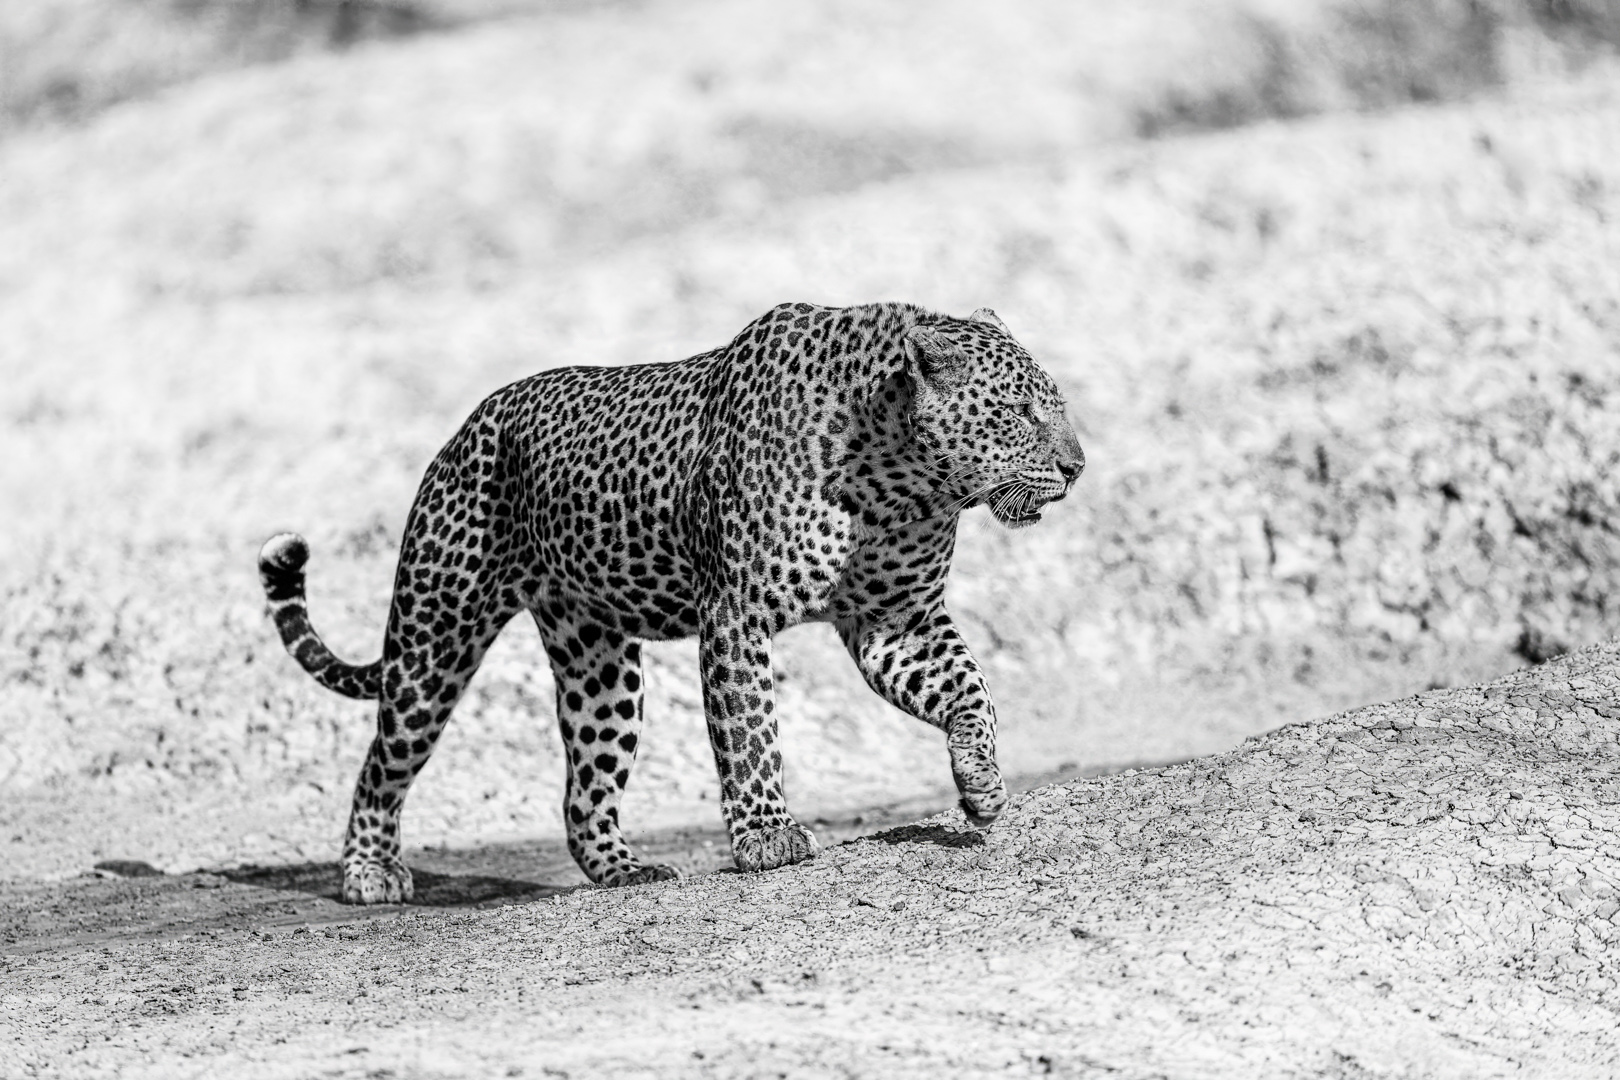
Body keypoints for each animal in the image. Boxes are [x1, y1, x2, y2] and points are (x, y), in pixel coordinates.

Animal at [258, 301, 1085, 904]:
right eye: (1020, 411)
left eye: (1058, 407)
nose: (1079, 466)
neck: (897, 482)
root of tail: (462, 429)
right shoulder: (737, 615)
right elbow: (751, 734)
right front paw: (768, 837)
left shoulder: (896, 621)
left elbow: (971, 688)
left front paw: (982, 784)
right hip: (436, 636)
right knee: (382, 760)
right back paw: (368, 874)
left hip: (598, 666)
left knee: (584, 787)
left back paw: (626, 871)